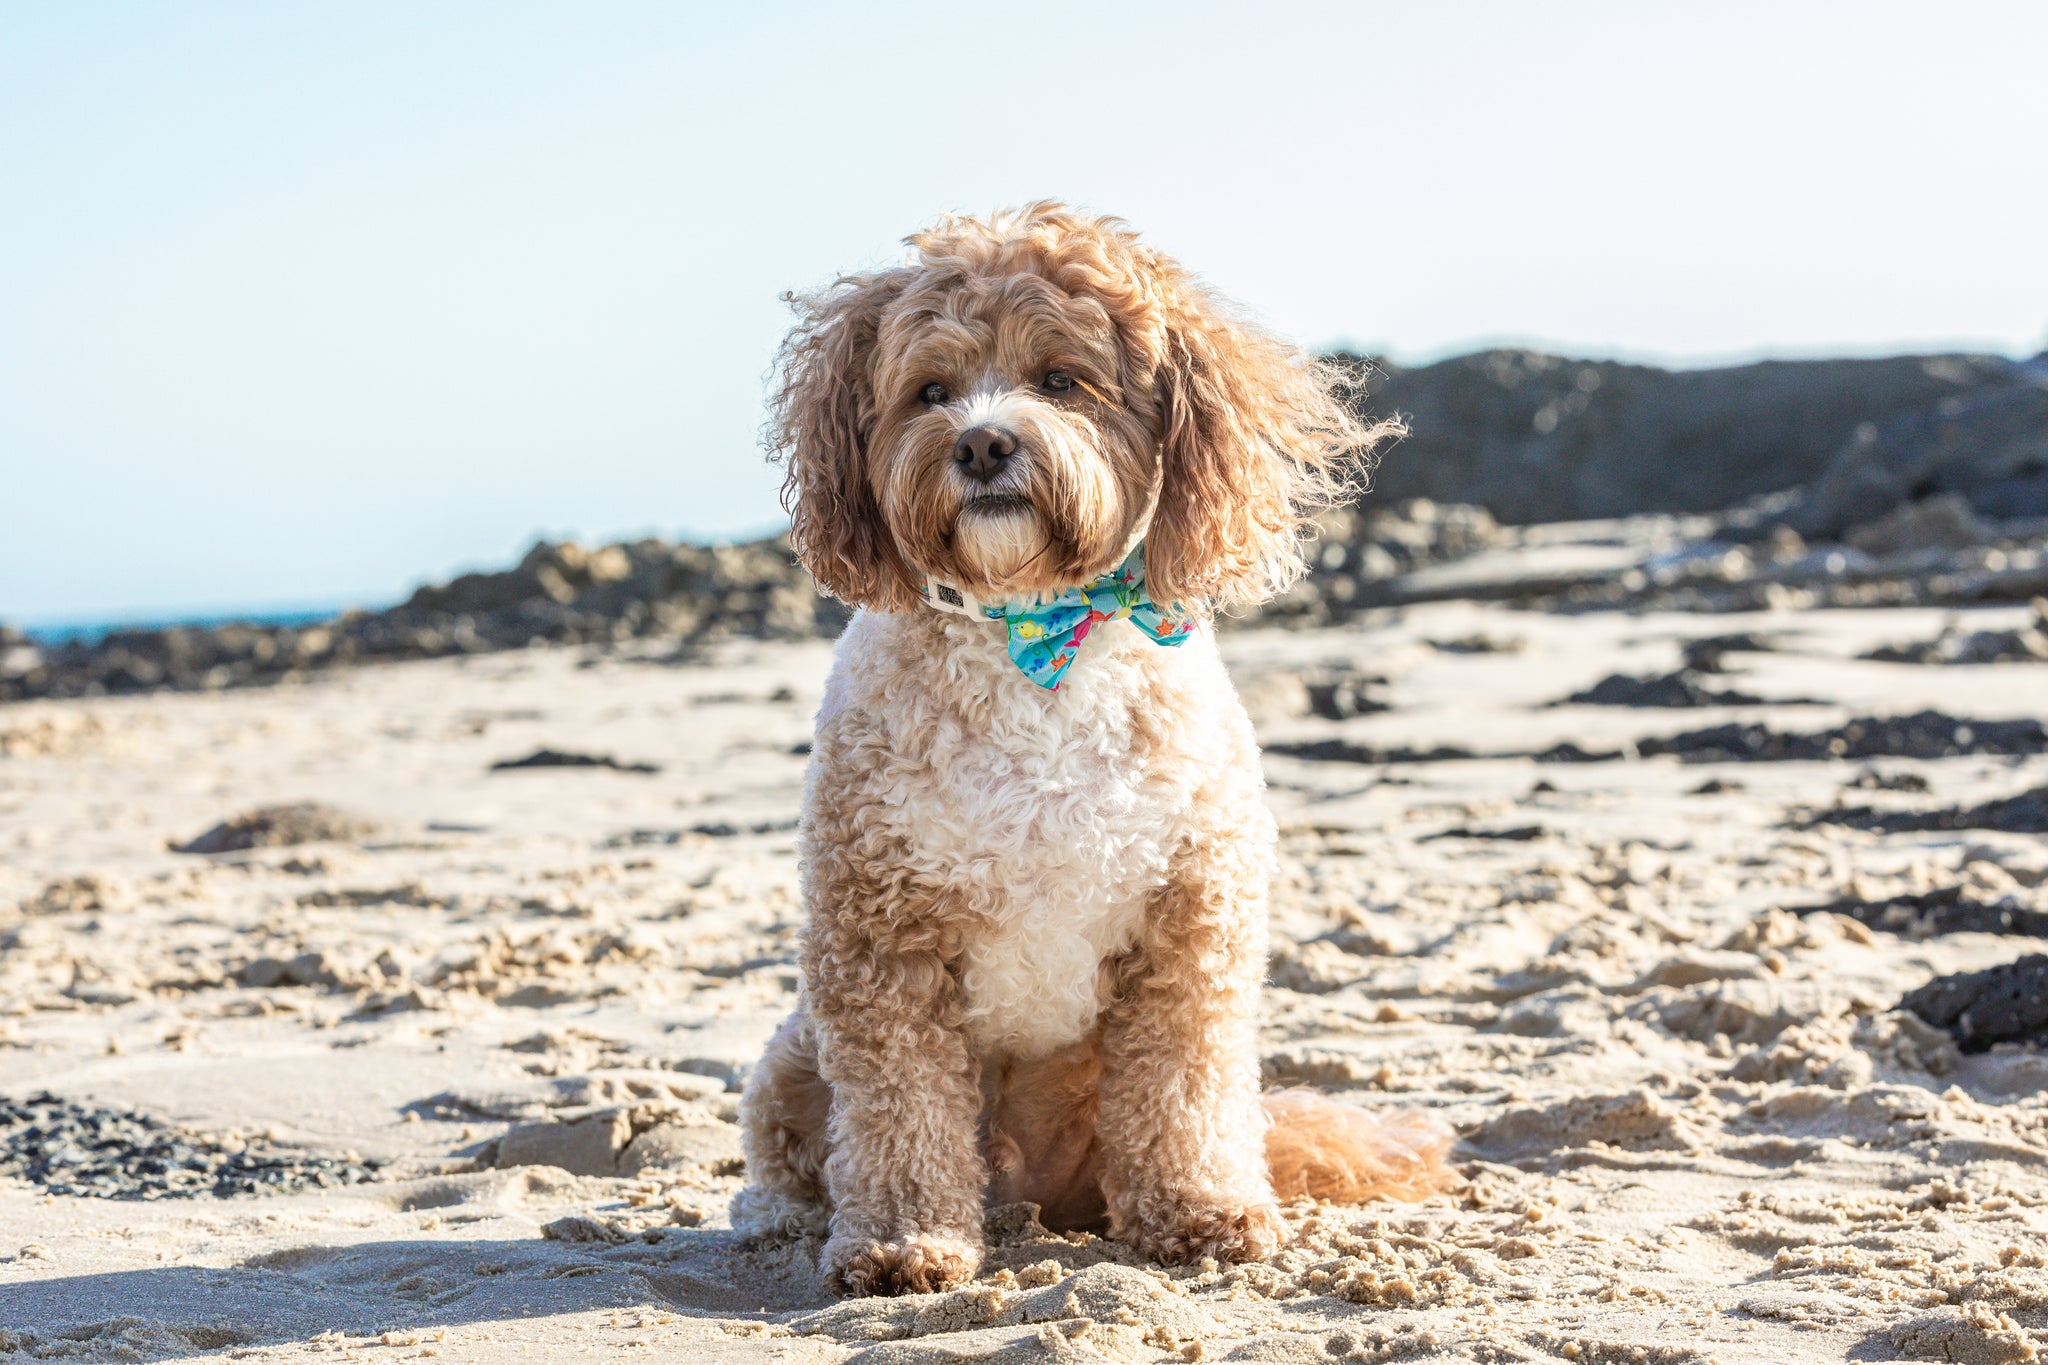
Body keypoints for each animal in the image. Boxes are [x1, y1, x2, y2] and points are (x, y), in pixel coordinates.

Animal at [729, 197, 1449, 1301]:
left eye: (1061, 379)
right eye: (929, 390)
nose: (983, 442)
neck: (1035, 639)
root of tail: (1023, 1191)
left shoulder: (1189, 924)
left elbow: (1183, 1090)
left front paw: (1201, 1214)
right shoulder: (880, 940)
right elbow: (900, 1112)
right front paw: (902, 1243)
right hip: (792, 1054)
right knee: (798, 1146)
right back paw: (779, 1216)